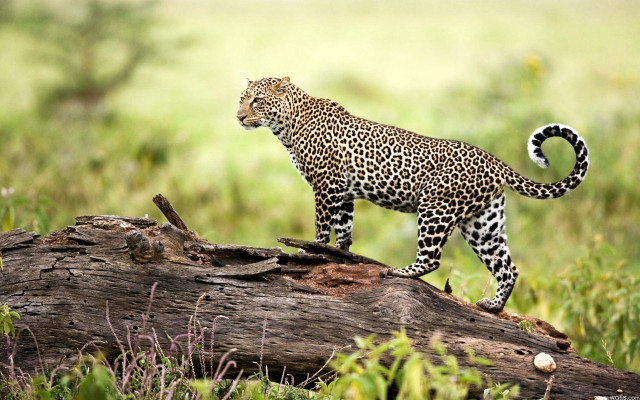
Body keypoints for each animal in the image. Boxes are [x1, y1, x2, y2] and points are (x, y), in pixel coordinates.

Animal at [236, 76, 589, 313]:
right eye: (242, 98)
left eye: (257, 101)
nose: (239, 117)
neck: (287, 125)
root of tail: (494, 161)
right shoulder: (344, 192)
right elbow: (345, 229)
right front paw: (339, 255)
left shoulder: (326, 185)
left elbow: (322, 227)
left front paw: (309, 254)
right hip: (483, 224)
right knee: (507, 268)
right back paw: (493, 306)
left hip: (435, 209)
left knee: (432, 259)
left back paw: (398, 271)